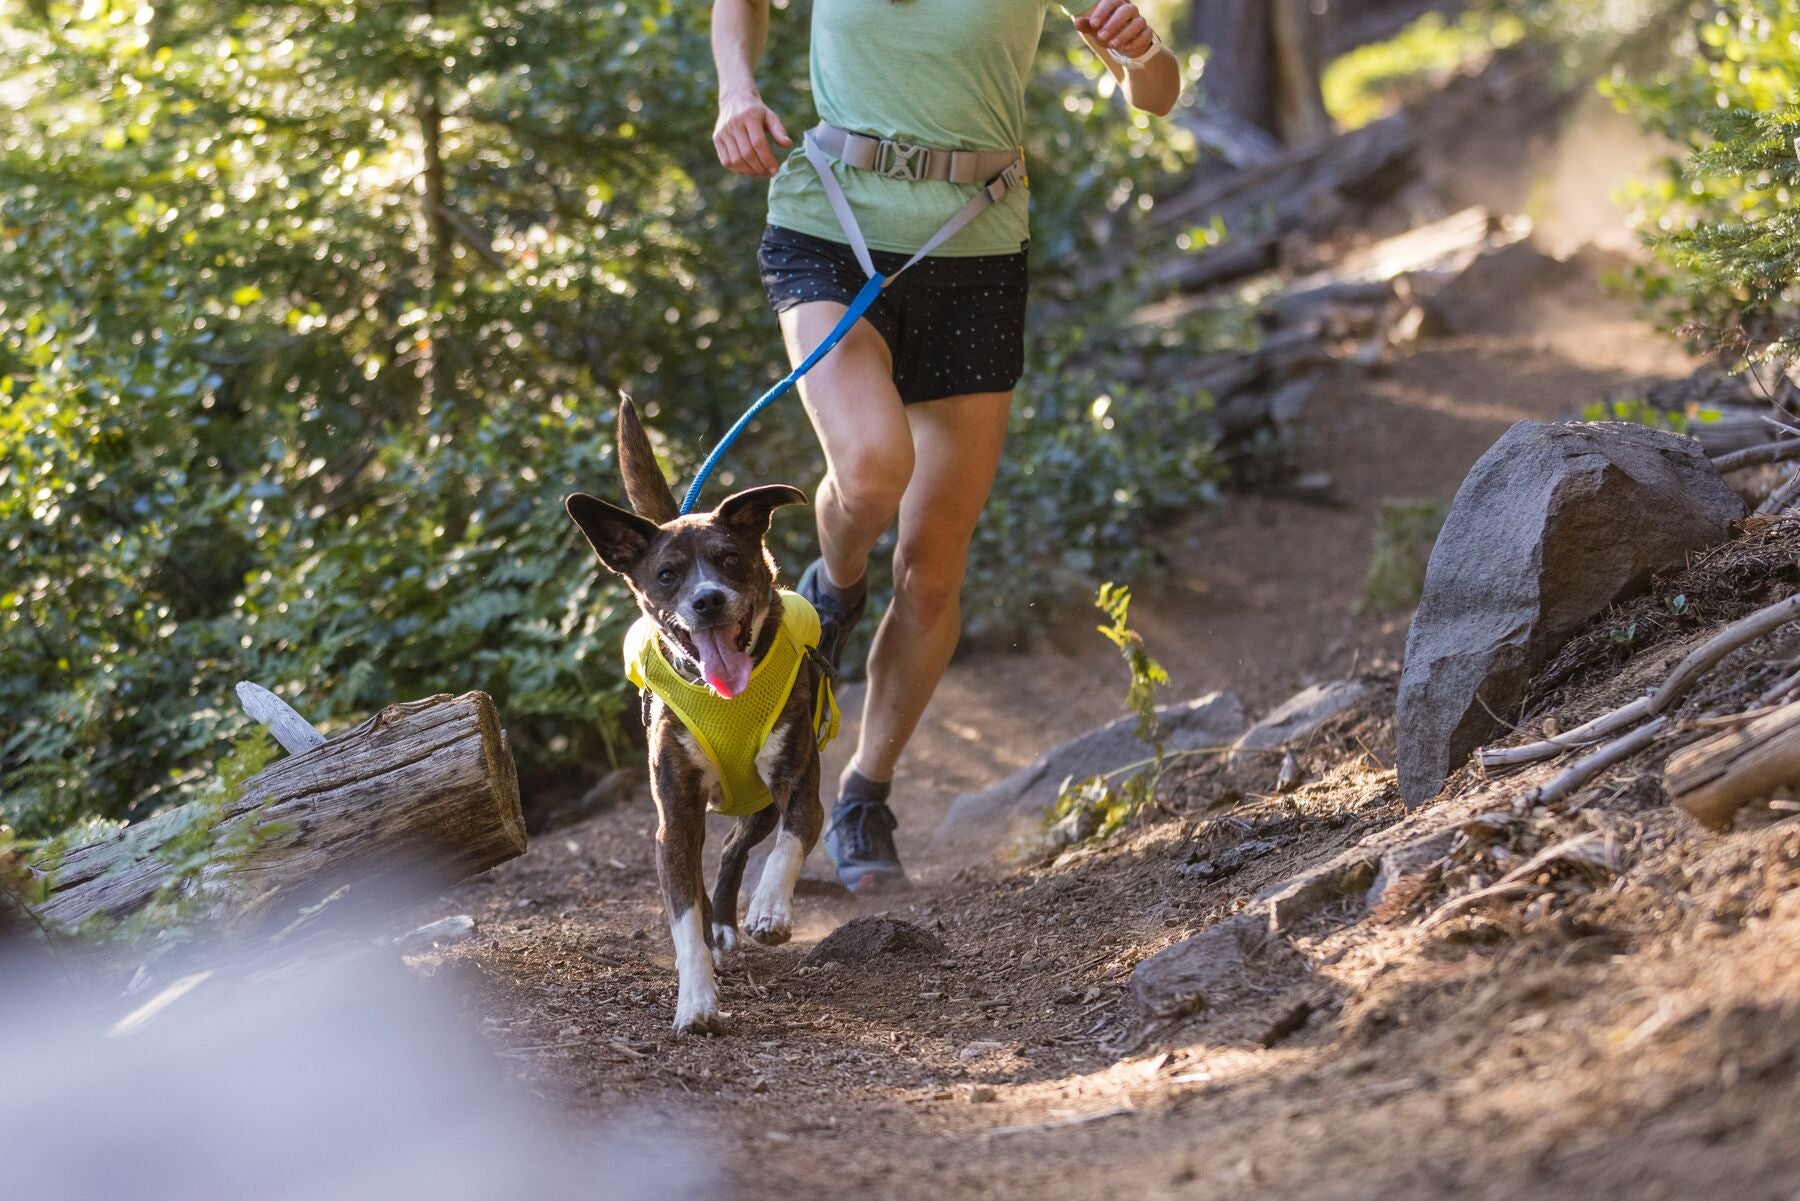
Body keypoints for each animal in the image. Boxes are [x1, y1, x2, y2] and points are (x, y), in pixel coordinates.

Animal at [565, 401, 831, 1037]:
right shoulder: (676, 818)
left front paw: (770, 910)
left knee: (739, 848)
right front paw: (697, 999)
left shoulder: (798, 783)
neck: (725, 698)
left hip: (758, 803)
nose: (707, 599)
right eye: (667, 574)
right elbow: (683, 915)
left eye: (730, 560)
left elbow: (791, 840)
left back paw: (736, 918)